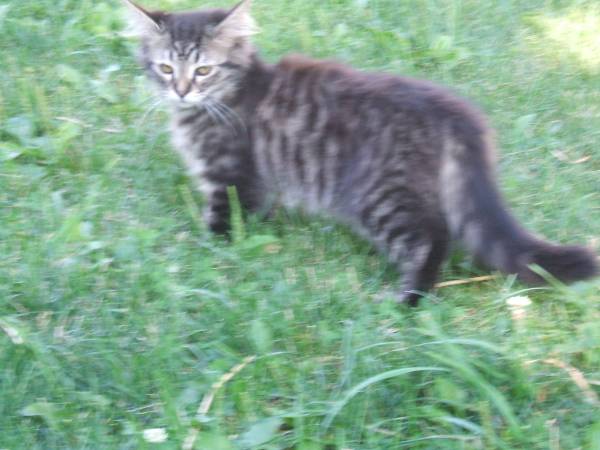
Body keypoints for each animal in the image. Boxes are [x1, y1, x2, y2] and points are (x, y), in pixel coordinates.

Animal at [122, 0, 596, 306]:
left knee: (431, 239)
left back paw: (407, 300)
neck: (227, 98)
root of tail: (454, 114)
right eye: (166, 68)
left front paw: (197, 253)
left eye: (204, 69)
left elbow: (220, 227)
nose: (181, 91)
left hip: (379, 196)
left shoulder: (233, 179)